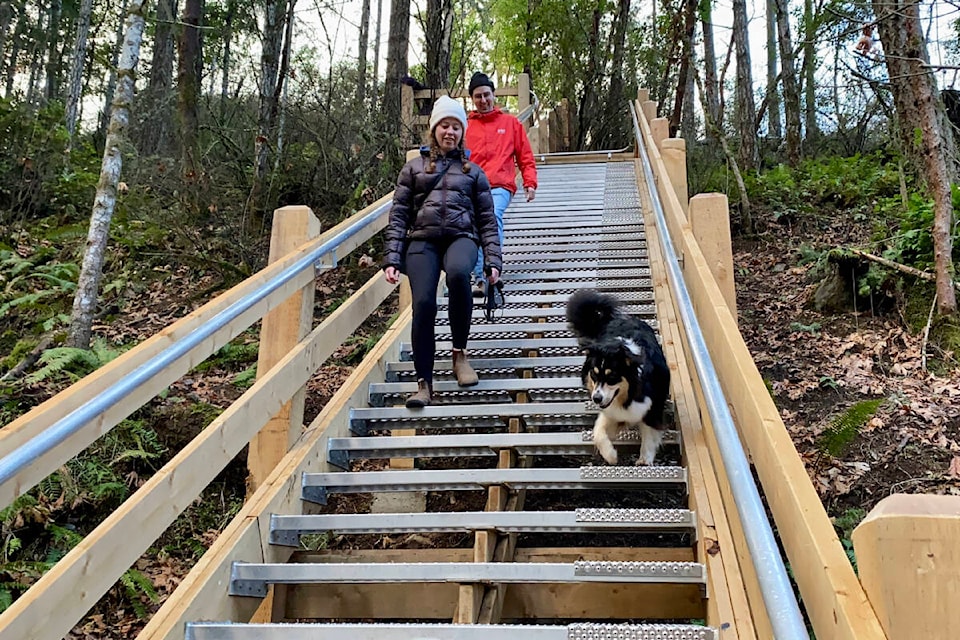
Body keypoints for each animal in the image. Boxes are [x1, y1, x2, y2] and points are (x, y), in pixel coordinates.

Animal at [568, 290, 672, 464]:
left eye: (612, 377)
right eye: (593, 374)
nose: (596, 399)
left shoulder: (652, 408)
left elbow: (649, 436)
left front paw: (644, 460)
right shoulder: (610, 411)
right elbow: (598, 432)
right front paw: (611, 456)